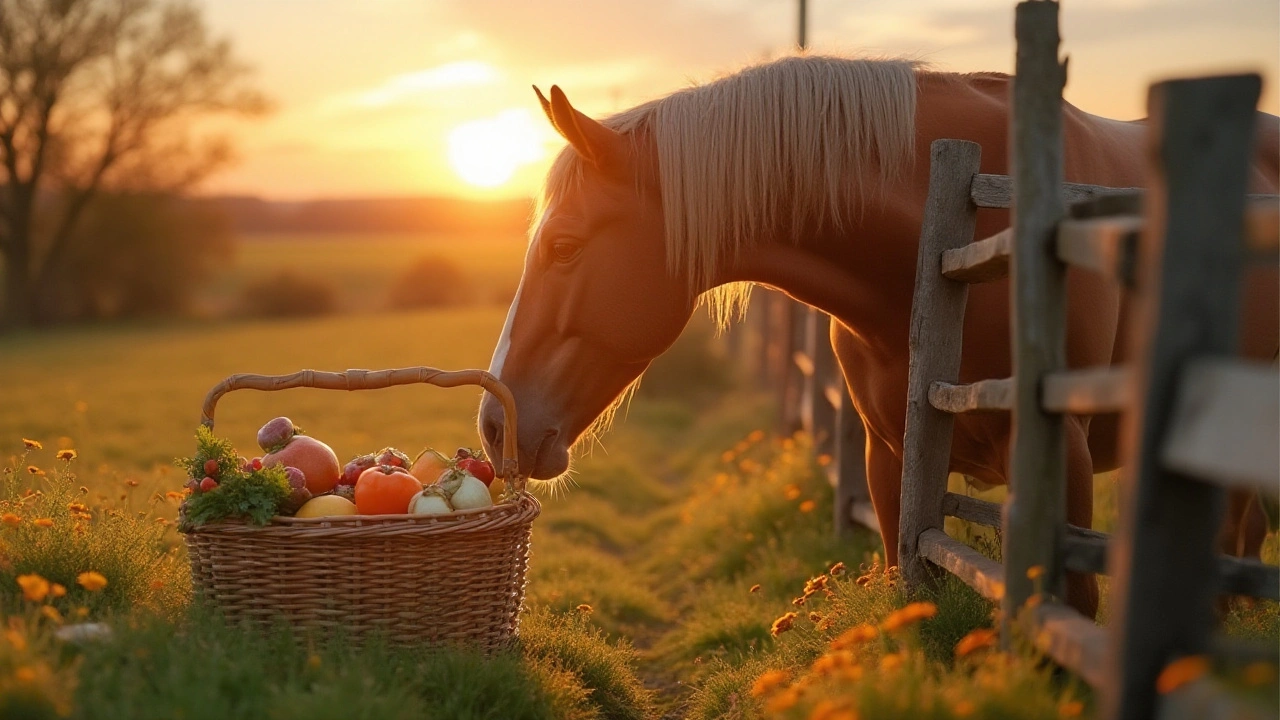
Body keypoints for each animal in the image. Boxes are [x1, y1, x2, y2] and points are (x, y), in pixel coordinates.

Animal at [473, 57, 1280, 617]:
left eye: (565, 248)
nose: (492, 424)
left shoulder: (1066, 455)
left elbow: (1071, 606)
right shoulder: (887, 451)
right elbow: (903, 576)